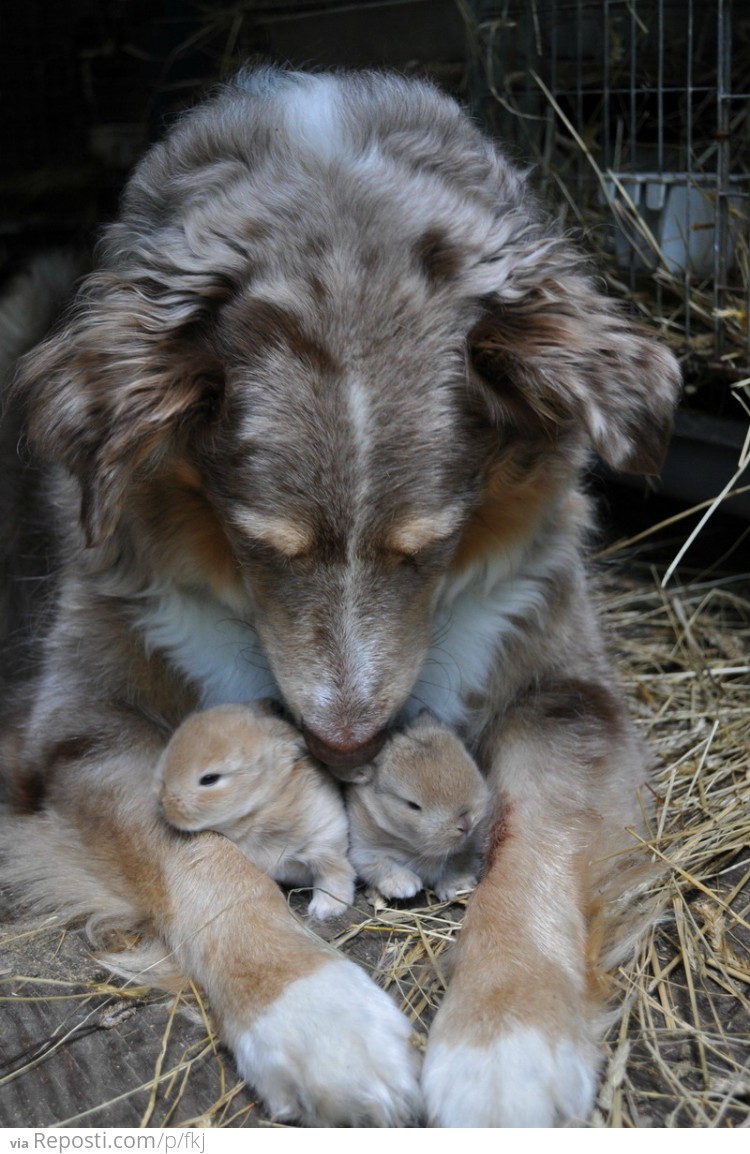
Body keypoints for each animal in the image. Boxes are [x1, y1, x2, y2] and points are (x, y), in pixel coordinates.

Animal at [155, 701, 355, 918]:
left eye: (209, 779)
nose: (163, 802)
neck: (260, 808)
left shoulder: (325, 841)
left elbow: (334, 875)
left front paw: (325, 909)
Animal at [343, 710, 484, 900]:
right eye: (412, 805)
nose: (466, 823)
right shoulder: (362, 851)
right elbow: (381, 864)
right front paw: (405, 886)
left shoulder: (469, 849)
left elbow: (459, 863)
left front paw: (456, 886)